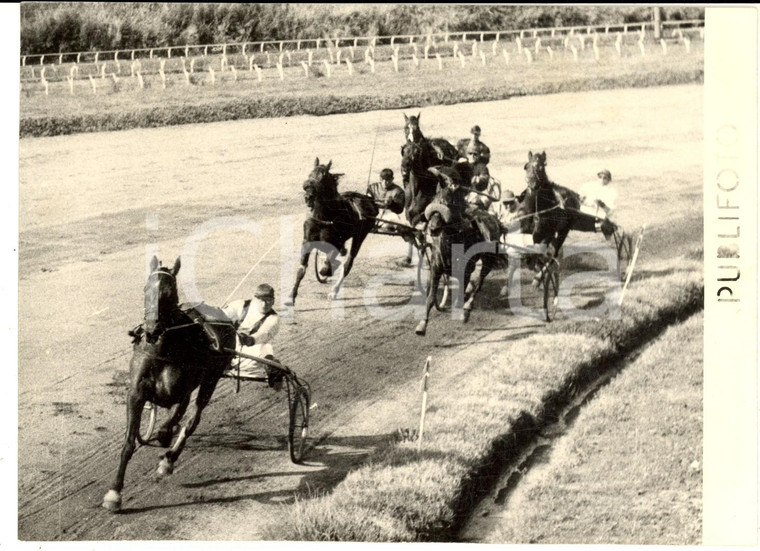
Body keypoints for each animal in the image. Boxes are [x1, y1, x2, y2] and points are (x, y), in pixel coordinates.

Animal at [102, 256, 236, 516]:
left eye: (169, 292)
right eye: (146, 289)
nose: (151, 330)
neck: (162, 348)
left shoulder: (181, 389)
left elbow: (176, 416)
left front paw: (165, 440)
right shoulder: (136, 393)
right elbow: (129, 443)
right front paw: (114, 493)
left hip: (211, 378)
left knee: (194, 417)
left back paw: (170, 457)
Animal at [286, 158, 378, 306]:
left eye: (323, 177)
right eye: (310, 173)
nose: (308, 196)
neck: (324, 216)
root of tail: (368, 199)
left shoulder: (336, 242)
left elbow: (329, 264)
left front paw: (326, 269)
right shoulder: (307, 242)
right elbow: (301, 269)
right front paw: (291, 296)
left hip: (360, 235)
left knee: (348, 262)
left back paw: (334, 290)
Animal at [412, 164, 502, 336]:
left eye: (449, 202)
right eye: (434, 200)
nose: (433, 228)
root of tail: (494, 219)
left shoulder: (466, 269)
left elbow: (462, 293)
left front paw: (462, 312)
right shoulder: (436, 267)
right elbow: (431, 297)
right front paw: (421, 325)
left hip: (488, 260)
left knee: (479, 281)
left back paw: (468, 307)